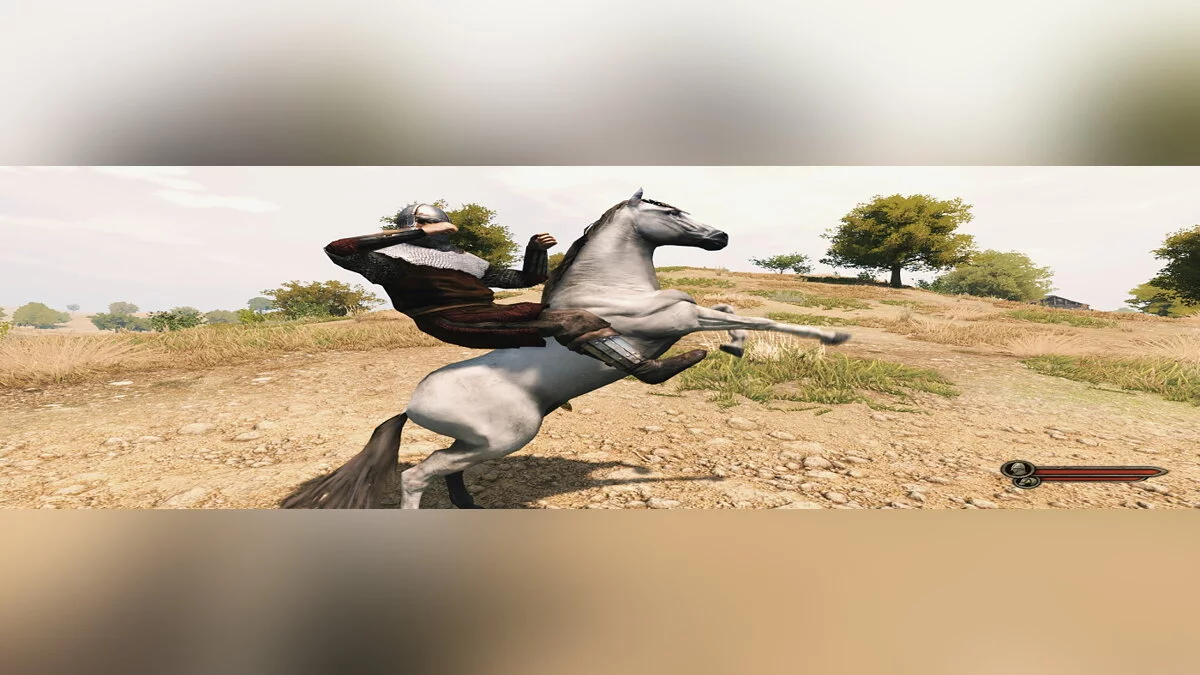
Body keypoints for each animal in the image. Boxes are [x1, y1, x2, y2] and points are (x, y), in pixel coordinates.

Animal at [280, 189, 851, 509]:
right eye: (671, 212)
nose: (721, 237)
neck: (611, 290)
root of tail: (411, 403)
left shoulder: (685, 314)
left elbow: (734, 313)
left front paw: (736, 346)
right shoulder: (679, 320)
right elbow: (756, 316)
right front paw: (833, 337)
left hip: (478, 443)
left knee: (447, 468)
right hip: (504, 439)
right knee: (419, 475)